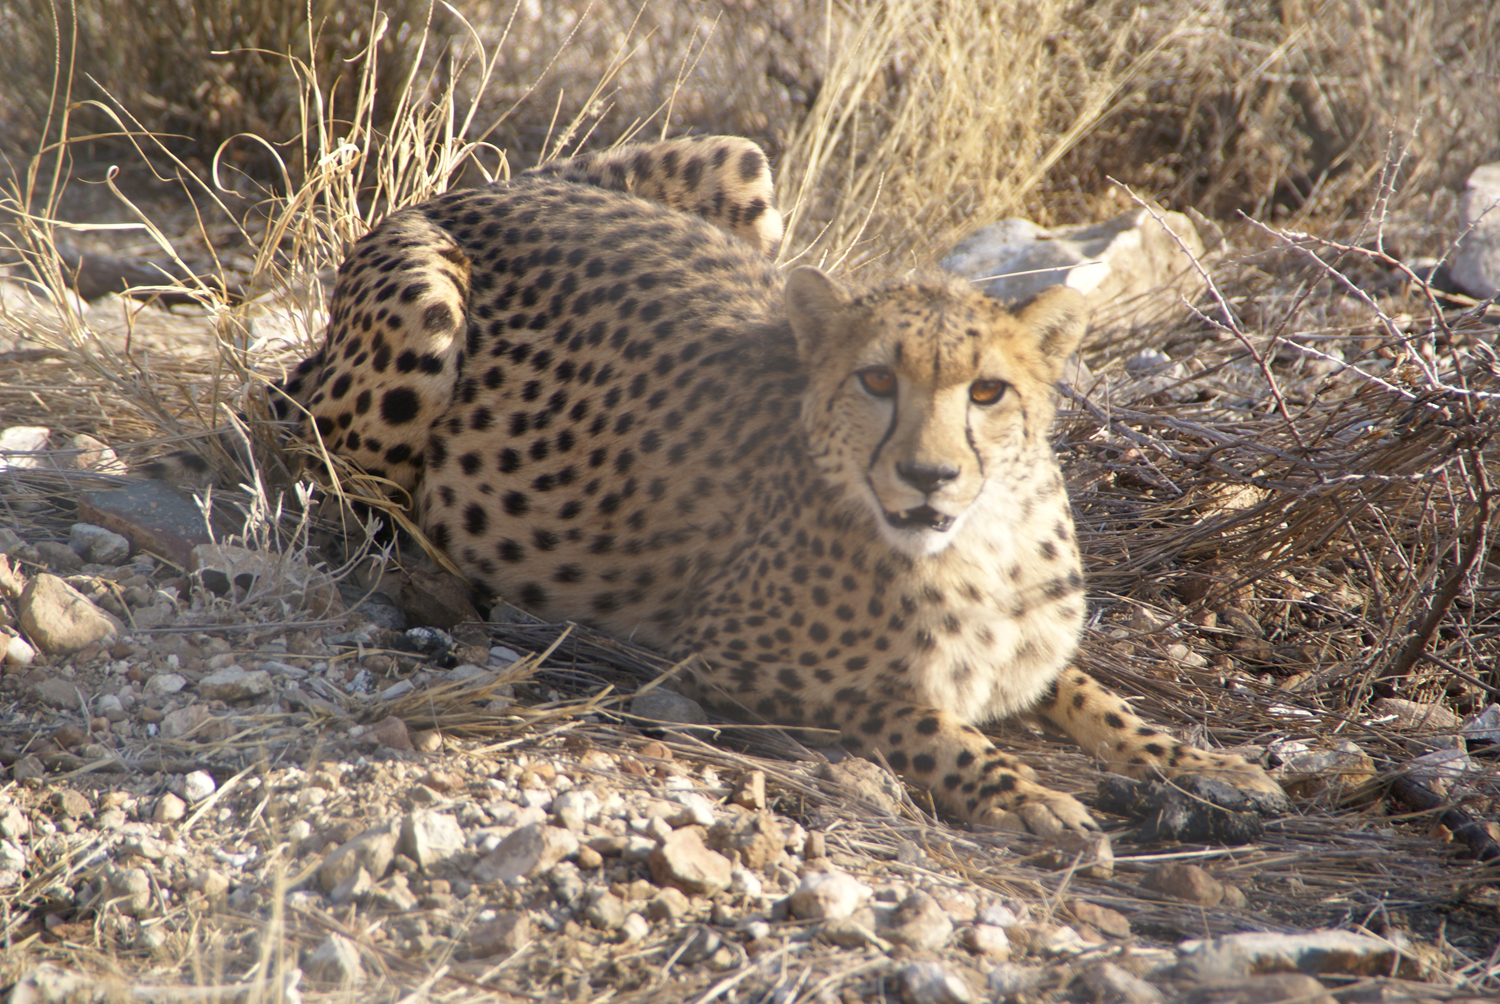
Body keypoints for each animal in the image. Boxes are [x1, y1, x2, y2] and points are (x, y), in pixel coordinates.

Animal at [161, 137, 1290, 834]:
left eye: (988, 390)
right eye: (875, 381)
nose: (928, 475)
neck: (977, 539)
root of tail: (480, 186)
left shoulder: (1030, 648)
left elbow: (1090, 691)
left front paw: (1211, 764)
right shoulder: (730, 658)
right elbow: (918, 714)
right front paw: (1022, 793)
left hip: (740, 165)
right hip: (420, 321)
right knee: (303, 450)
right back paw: (432, 582)